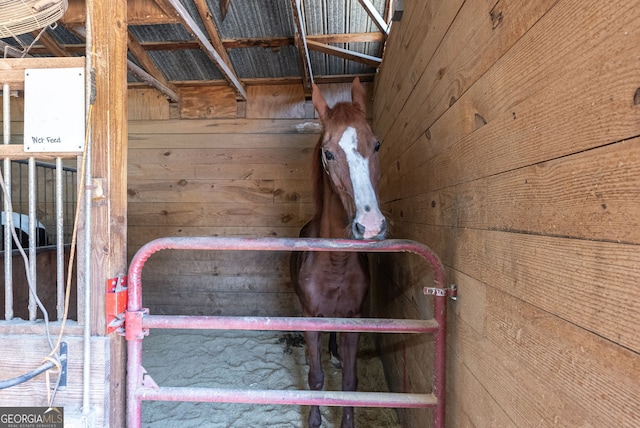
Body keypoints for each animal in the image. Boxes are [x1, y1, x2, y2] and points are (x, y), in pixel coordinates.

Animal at [292, 77, 388, 428]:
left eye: (376, 145)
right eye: (329, 153)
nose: (370, 226)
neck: (335, 261)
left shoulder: (353, 318)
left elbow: (349, 380)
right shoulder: (311, 317)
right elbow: (316, 379)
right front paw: (314, 419)